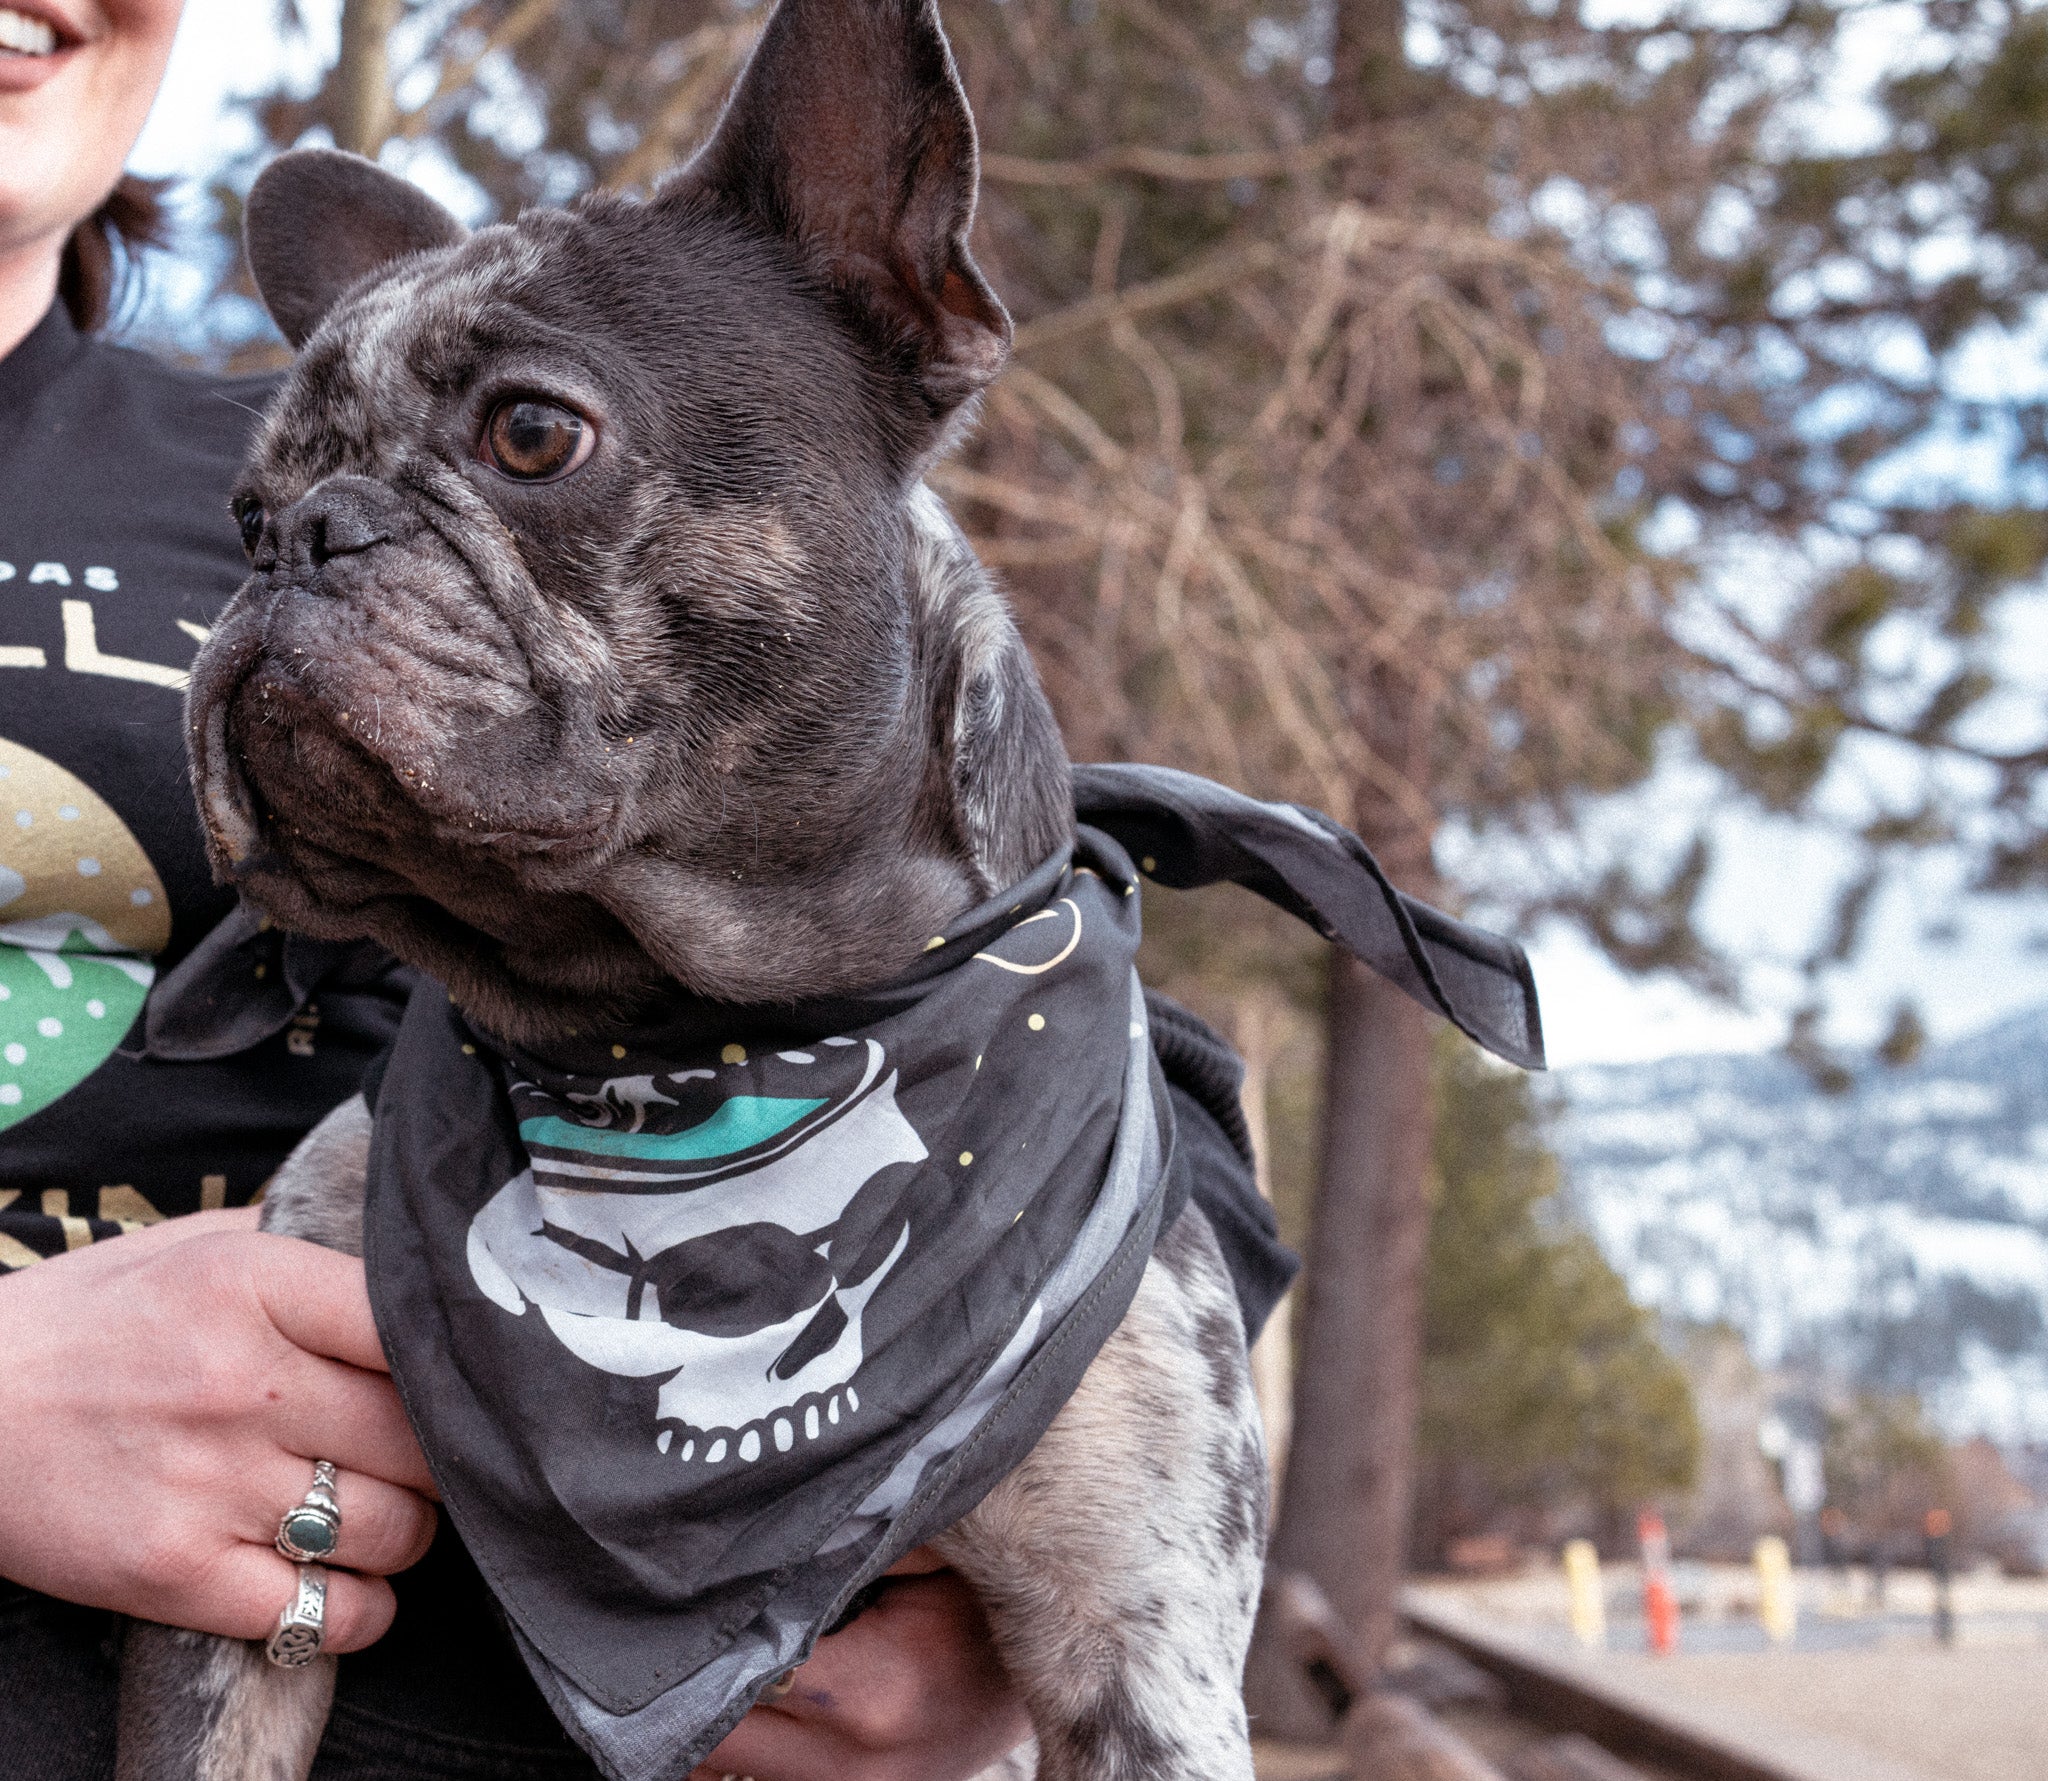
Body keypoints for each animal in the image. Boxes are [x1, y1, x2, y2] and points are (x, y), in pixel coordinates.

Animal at [116, 3, 1261, 1781]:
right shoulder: (232, 1612)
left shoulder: (1140, 1647)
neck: (678, 1027)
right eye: (240, 510)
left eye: (533, 433)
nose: (293, 537)